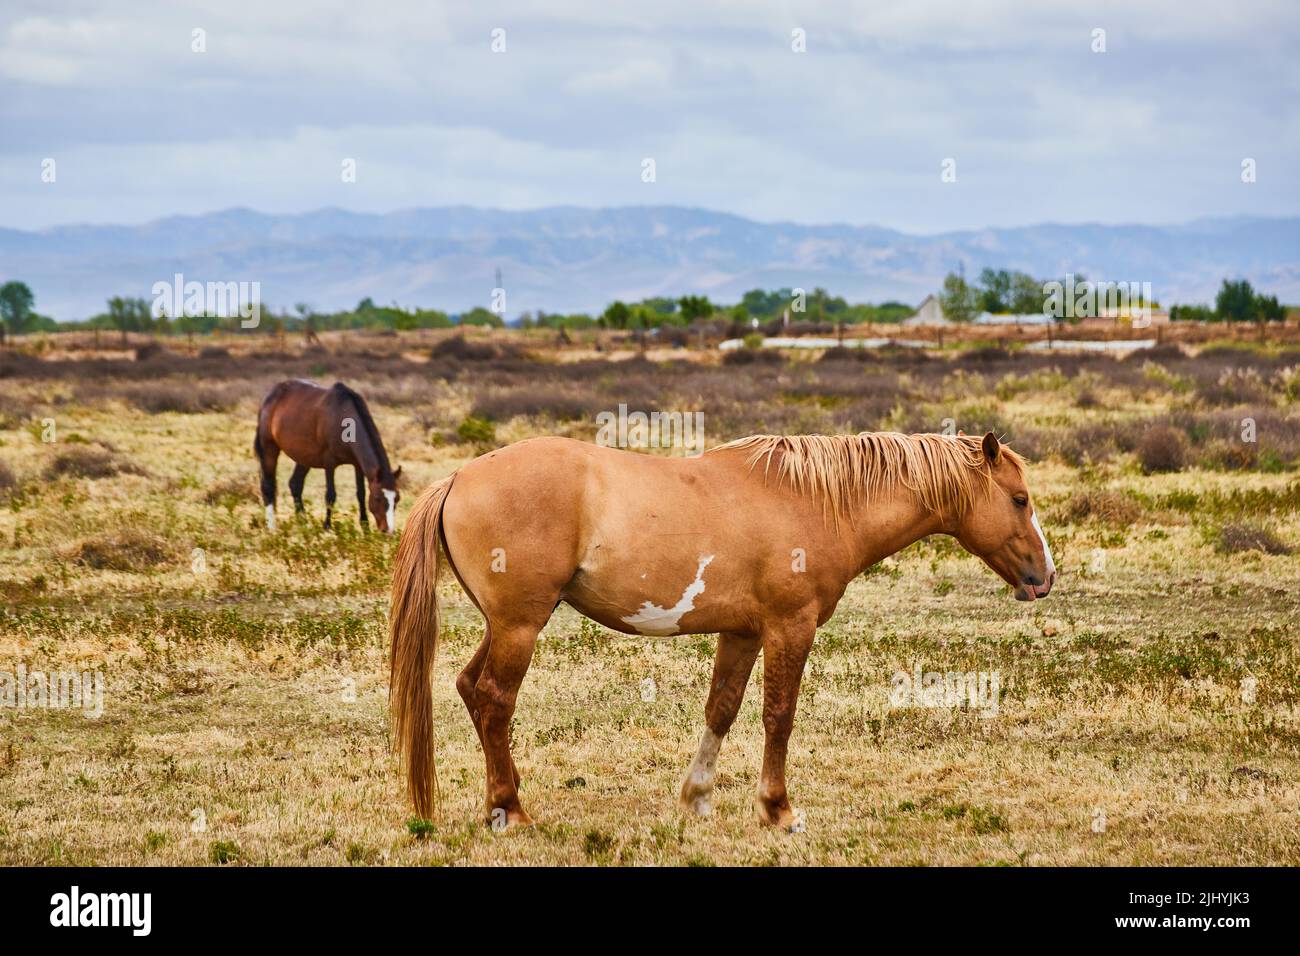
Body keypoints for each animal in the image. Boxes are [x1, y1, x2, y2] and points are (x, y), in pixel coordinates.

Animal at [255, 380, 402, 532]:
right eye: (378, 498)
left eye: (397, 498)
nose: (388, 530)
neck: (343, 418)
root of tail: (272, 395)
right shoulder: (329, 463)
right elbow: (331, 495)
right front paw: (327, 527)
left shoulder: (357, 465)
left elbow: (360, 494)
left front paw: (365, 526)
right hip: (269, 447)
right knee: (268, 485)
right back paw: (272, 527)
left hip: (304, 457)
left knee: (295, 484)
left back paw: (303, 523)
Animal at [389, 430, 1055, 830]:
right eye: (1019, 500)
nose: (1044, 578)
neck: (816, 500)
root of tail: (458, 478)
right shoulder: (790, 627)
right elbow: (778, 716)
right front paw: (778, 810)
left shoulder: (743, 634)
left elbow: (722, 711)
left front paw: (697, 798)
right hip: (519, 627)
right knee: (495, 700)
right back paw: (511, 811)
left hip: (505, 625)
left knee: (470, 689)